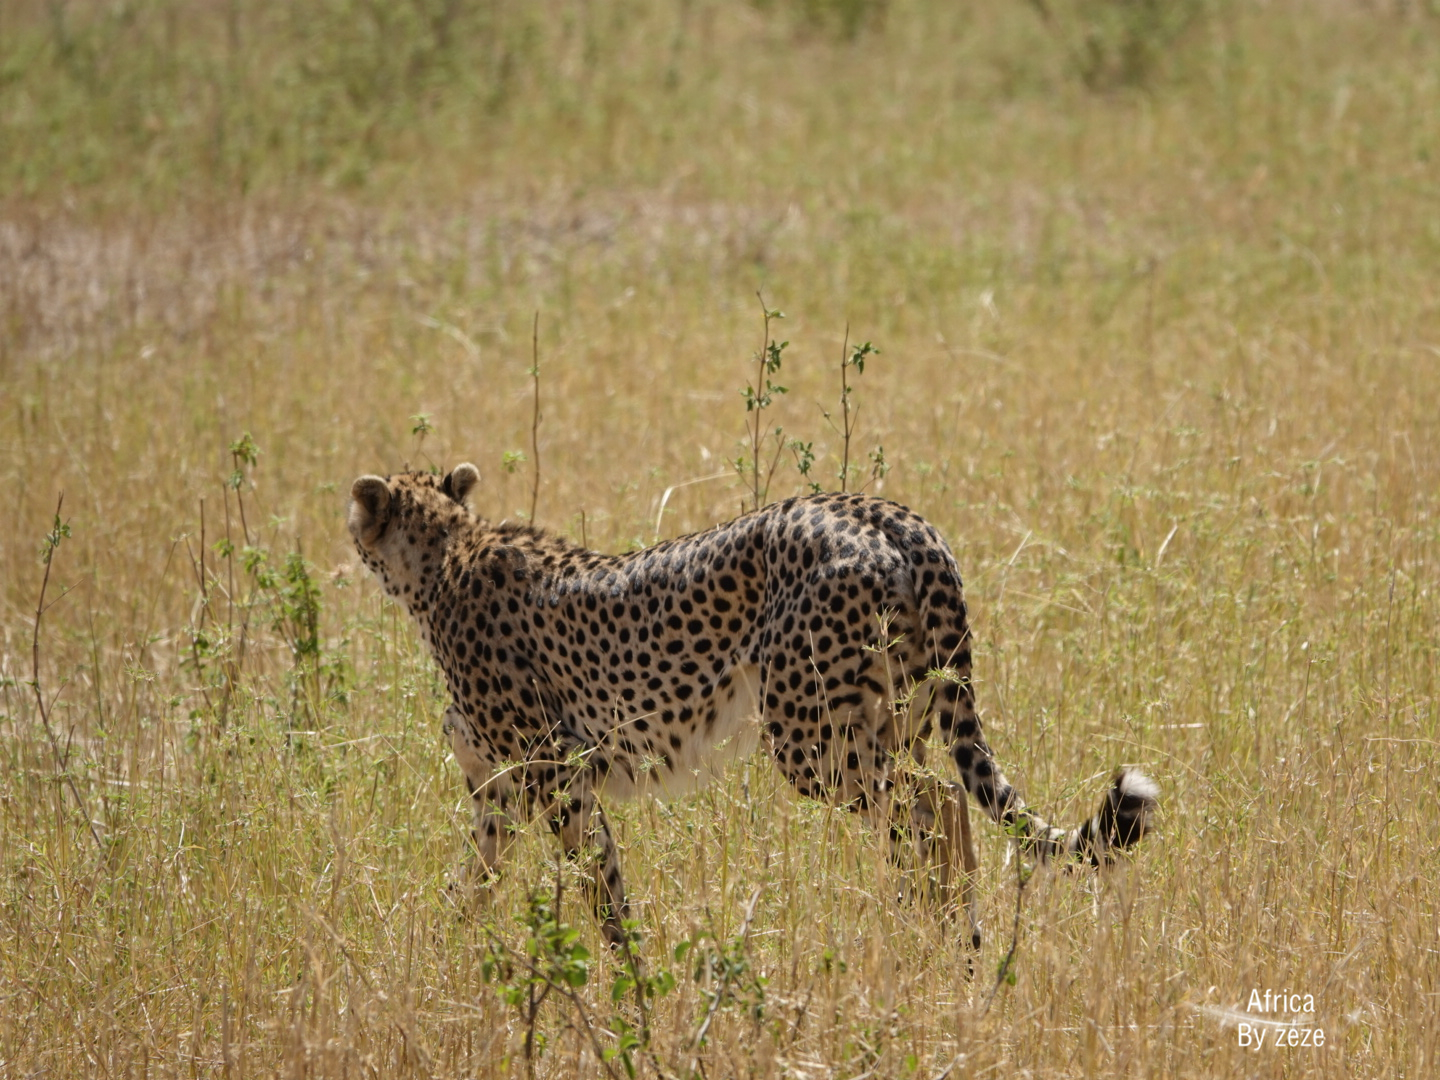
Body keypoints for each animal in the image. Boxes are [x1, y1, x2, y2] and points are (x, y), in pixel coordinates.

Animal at [348, 466, 1157, 944]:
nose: (346, 525)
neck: (442, 559)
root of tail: (887, 511)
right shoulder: (500, 791)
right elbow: (471, 883)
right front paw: (448, 961)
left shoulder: (557, 775)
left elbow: (598, 883)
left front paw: (626, 985)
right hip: (900, 717)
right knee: (929, 812)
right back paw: (945, 942)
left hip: (812, 737)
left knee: (935, 802)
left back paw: (941, 939)